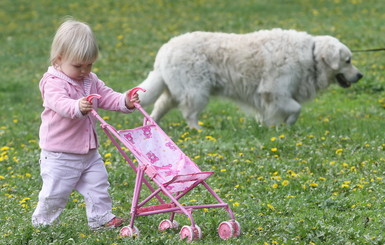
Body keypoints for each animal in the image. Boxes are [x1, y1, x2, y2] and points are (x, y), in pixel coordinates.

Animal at [136, 28, 362, 128]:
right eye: (348, 61)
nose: (360, 75)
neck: (311, 54)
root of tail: (165, 49)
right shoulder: (275, 92)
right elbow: (296, 108)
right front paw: (287, 125)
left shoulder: (274, 96)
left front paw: (273, 126)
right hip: (197, 91)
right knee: (189, 113)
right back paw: (198, 130)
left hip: (174, 90)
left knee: (159, 107)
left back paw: (153, 126)